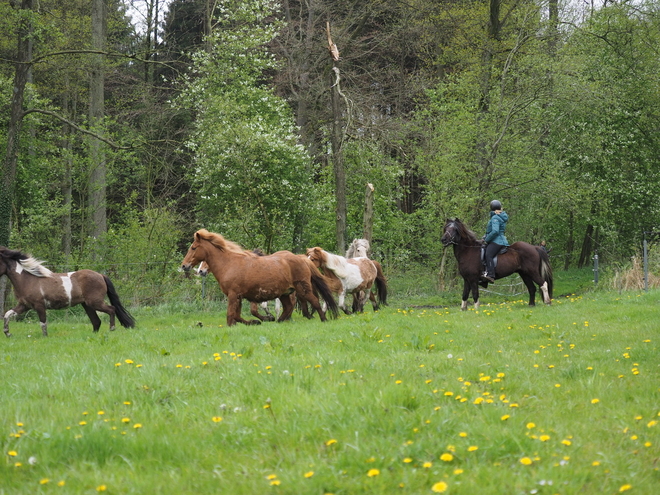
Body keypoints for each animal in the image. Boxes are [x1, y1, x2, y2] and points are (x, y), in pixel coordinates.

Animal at [0, 247, 135, 338]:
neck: (28, 280)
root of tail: (101, 275)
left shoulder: (39, 306)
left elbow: (43, 323)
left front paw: (45, 338)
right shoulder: (24, 305)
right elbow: (7, 314)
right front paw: (8, 333)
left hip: (95, 302)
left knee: (111, 309)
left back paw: (112, 328)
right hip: (87, 305)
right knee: (96, 321)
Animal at [180, 231, 338, 328]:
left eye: (193, 248)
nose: (184, 265)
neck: (229, 264)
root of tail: (303, 259)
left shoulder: (233, 295)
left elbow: (231, 315)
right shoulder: (238, 296)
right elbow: (237, 316)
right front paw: (256, 321)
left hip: (302, 288)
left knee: (314, 301)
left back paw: (324, 319)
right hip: (284, 293)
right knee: (288, 307)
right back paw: (278, 321)